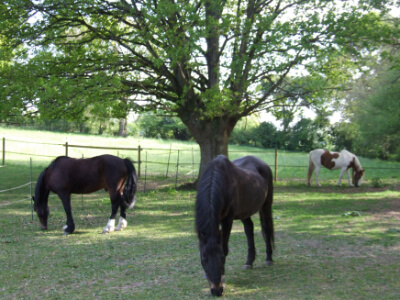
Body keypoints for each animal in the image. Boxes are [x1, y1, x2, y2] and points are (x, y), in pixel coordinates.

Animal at [195, 156, 276, 296]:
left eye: (222, 258)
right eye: (204, 259)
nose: (217, 291)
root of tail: (262, 164)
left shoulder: (227, 220)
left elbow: (225, 247)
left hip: (266, 205)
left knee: (266, 228)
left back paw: (268, 259)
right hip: (245, 212)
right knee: (249, 229)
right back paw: (249, 262)